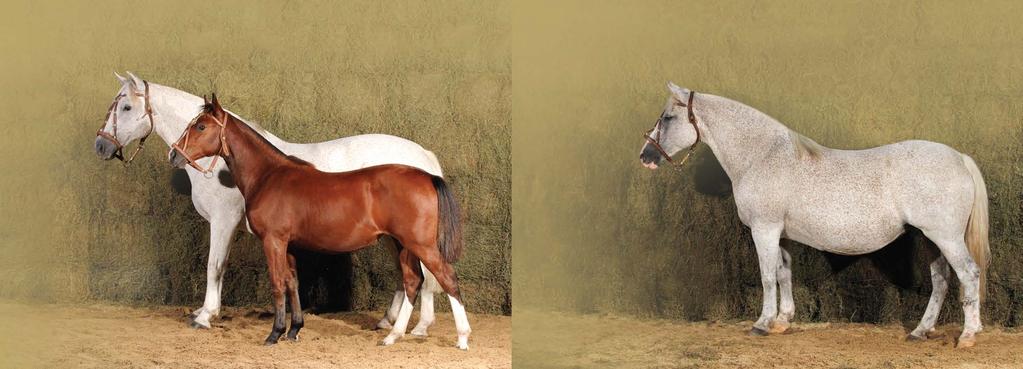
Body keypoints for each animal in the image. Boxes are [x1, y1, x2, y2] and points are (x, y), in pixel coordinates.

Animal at [96, 72, 443, 333]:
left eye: (126, 107)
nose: (101, 145)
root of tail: (424, 155)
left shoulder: (223, 221)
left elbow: (214, 266)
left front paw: (205, 316)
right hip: (392, 237)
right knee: (407, 274)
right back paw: (388, 321)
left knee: (425, 274)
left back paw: (420, 326)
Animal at [168, 94, 470, 347]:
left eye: (201, 127)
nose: (174, 155)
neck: (269, 175)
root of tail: (427, 176)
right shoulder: (288, 245)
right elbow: (292, 283)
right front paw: (294, 330)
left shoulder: (273, 241)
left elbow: (277, 283)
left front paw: (274, 334)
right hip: (403, 244)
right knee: (412, 280)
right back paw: (393, 336)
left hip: (420, 245)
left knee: (447, 278)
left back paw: (462, 337)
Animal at [638, 82, 990, 347]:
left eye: (667, 117)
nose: (646, 156)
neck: (762, 156)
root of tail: (959, 157)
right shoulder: (779, 233)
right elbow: (784, 272)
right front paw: (783, 321)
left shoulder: (764, 229)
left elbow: (767, 276)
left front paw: (762, 323)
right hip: (932, 239)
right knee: (941, 280)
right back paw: (920, 331)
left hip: (945, 237)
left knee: (968, 274)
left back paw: (968, 336)